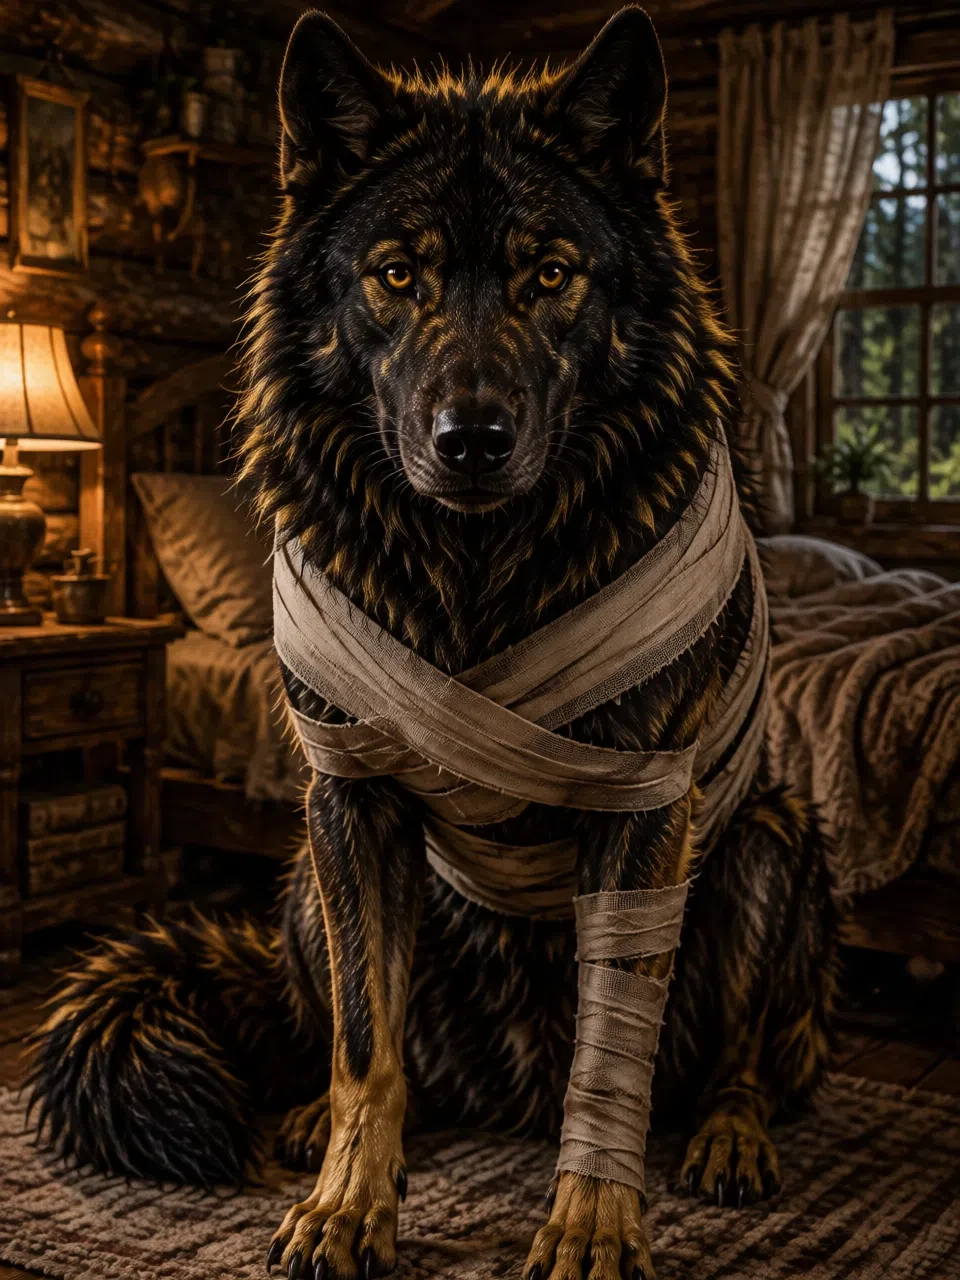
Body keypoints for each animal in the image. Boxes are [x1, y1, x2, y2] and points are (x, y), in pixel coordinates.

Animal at [28, 8, 836, 1280]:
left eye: (549, 273)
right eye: (396, 273)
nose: (470, 440)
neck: (476, 570)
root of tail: (509, 1083)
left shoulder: (648, 806)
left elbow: (613, 1049)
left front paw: (592, 1222)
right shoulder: (350, 800)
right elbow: (367, 1044)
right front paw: (347, 1202)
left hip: (768, 835)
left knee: (739, 1058)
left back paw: (729, 1135)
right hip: (303, 875)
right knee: (375, 1047)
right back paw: (313, 1121)